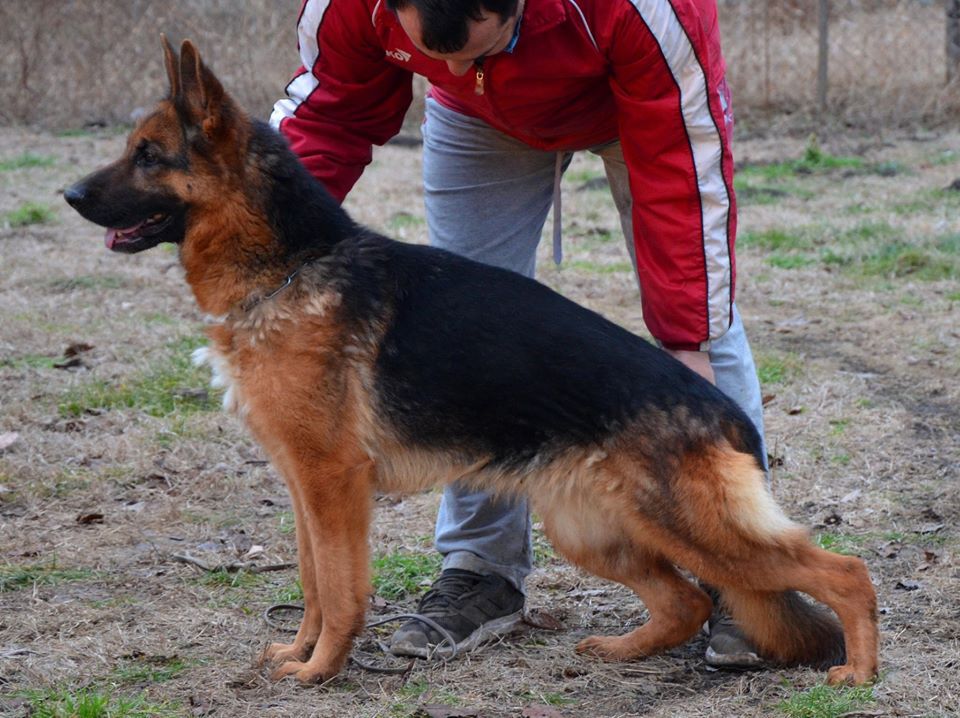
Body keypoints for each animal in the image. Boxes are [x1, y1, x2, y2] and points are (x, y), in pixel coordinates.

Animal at [63, 38, 880, 688]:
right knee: (687, 599)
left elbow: (342, 590)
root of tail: (725, 413)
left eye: (147, 155)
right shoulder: (304, 487)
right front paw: (299, 653)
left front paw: (321, 670)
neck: (292, 266)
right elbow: (312, 582)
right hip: (590, 529)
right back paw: (621, 650)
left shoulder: (332, 485)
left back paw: (858, 673)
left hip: (692, 527)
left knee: (842, 572)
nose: (67, 195)